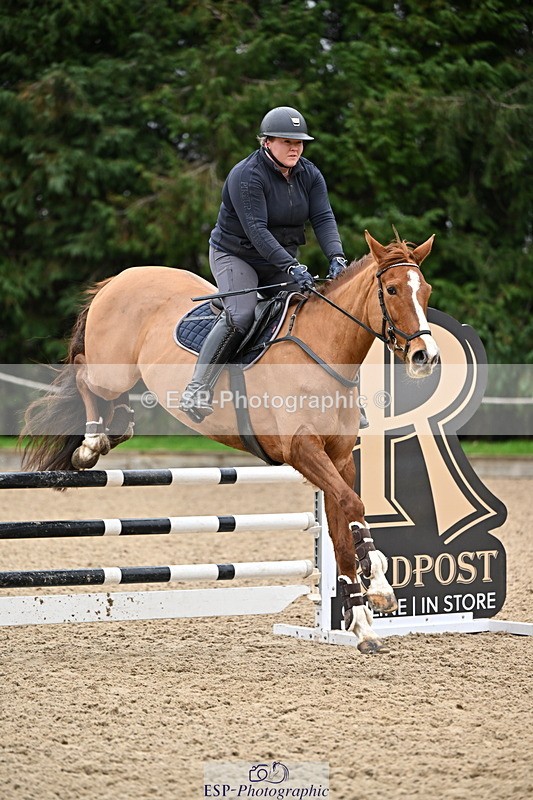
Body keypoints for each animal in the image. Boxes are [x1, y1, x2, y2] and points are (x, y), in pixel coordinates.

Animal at [21, 231, 440, 652]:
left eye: (426, 292)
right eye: (391, 289)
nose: (426, 356)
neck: (324, 352)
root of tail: (122, 277)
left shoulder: (339, 459)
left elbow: (343, 530)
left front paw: (364, 623)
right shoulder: (302, 450)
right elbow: (352, 505)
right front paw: (380, 587)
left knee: (108, 401)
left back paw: (116, 424)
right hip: (112, 372)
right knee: (83, 374)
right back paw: (91, 442)